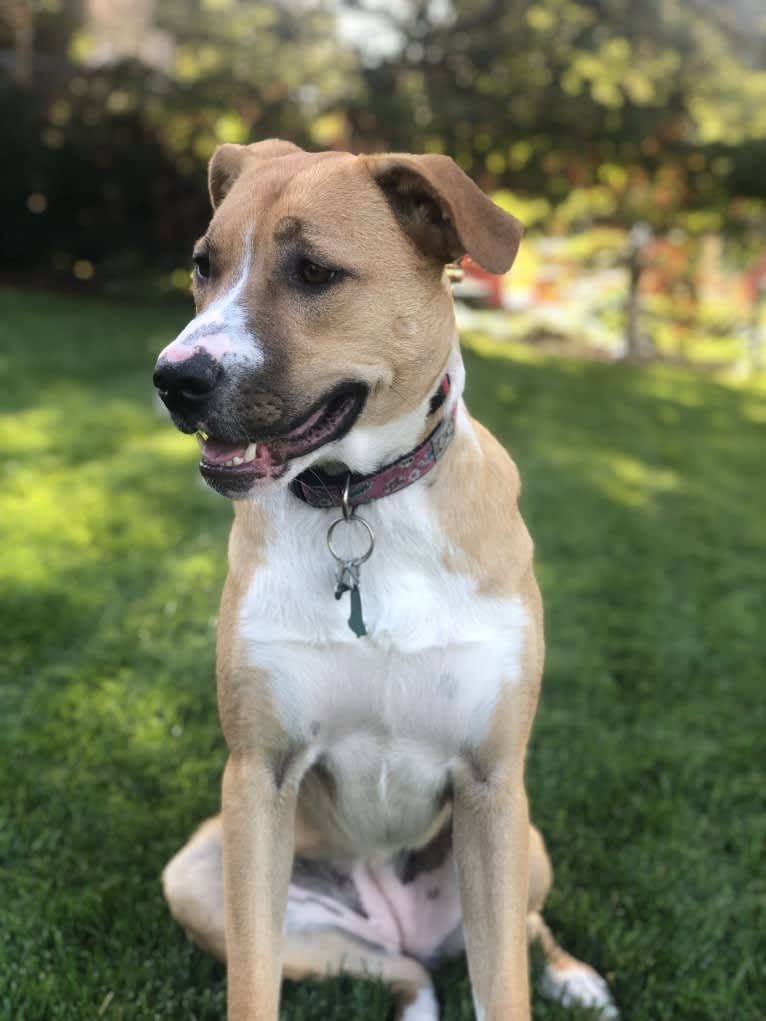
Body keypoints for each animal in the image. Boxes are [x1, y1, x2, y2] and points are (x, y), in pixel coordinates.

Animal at [154, 137, 616, 1021]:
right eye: (203, 265)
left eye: (314, 272)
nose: (174, 379)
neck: (359, 502)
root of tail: (403, 922)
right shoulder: (258, 776)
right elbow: (252, 982)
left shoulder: (491, 779)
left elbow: (504, 984)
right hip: (199, 873)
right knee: (405, 971)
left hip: (525, 837)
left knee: (520, 929)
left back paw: (574, 975)